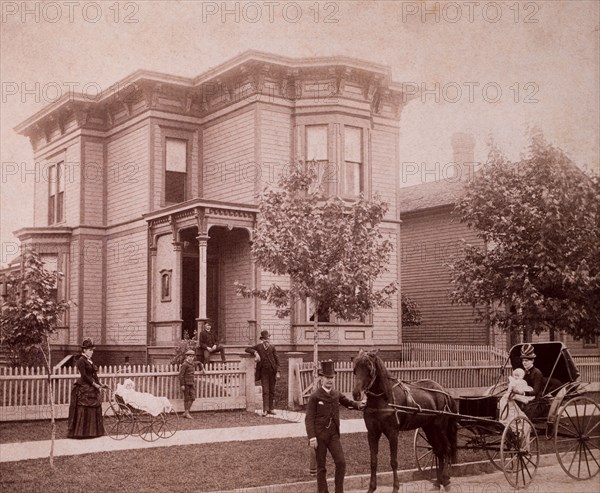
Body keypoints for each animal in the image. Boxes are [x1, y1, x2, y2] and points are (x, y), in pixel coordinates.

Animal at [352, 348, 460, 490]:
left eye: (369, 368)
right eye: (355, 368)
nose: (356, 394)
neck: (383, 399)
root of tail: (445, 392)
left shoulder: (393, 433)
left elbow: (393, 462)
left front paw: (395, 487)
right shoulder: (372, 433)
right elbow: (373, 461)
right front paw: (371, 488)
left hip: (440, 428)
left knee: (446, 449)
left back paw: (445, 479)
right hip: (429, 428)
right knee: (438, 451)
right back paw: (438, 482)